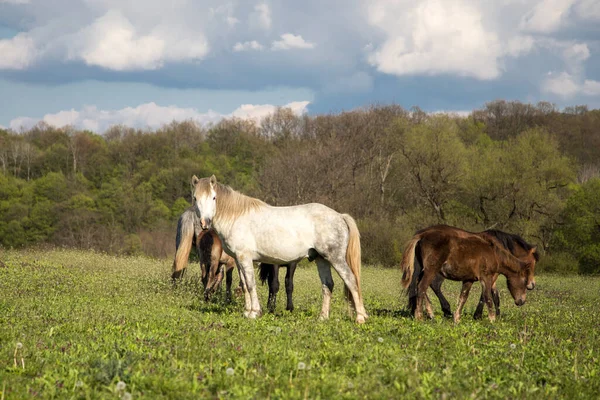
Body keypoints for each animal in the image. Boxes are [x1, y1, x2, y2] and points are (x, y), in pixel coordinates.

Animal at [192, 176, 370, 324]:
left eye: (213, 197)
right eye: (195, 198)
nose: (205, 223)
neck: (236, 216)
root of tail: (340, 216)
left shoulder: (245, 258)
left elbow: (250, 284)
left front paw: (255, 312)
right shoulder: (238, 259)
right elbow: (244, 284)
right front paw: (247, 311)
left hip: (336, 258)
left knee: (351, 280)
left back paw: (360, 317)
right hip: (322, 259)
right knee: (327, 285)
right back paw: (323, 317)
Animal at [400, 225, 532, 322]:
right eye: (524, 280)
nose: (521, 301)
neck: (493, 253)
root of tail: (421, 236)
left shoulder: (469, 279)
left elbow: (463, 297)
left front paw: (457, 319)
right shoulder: (486, 277)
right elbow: (488, 297)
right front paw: (492, 319)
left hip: (422, 270)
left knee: (419, 287)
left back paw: (429, 314)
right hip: (431, 270)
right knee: (422, 287)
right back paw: (420, 316)